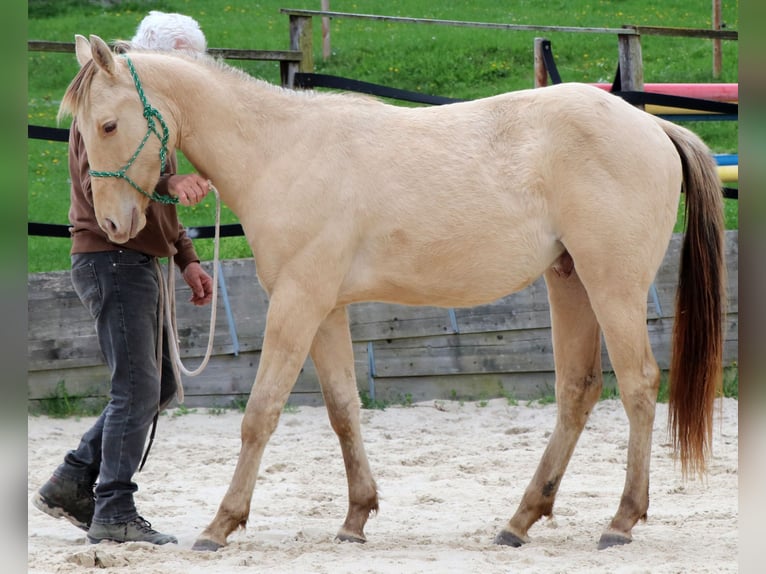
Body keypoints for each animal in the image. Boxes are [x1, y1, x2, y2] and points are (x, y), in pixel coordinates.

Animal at [60, 34, 725, 551]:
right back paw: (520, 521)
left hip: (613, 288)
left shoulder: (297, 304)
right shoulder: (324, 309)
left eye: (109, 124)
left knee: (638, 385)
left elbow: (261, 413)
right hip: (572, 283)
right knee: (578, 392)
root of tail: (654, 125)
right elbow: (343, 410)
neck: (282, 151)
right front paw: (355, 518)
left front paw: (221, 524)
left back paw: (621, 522)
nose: (114, 225)